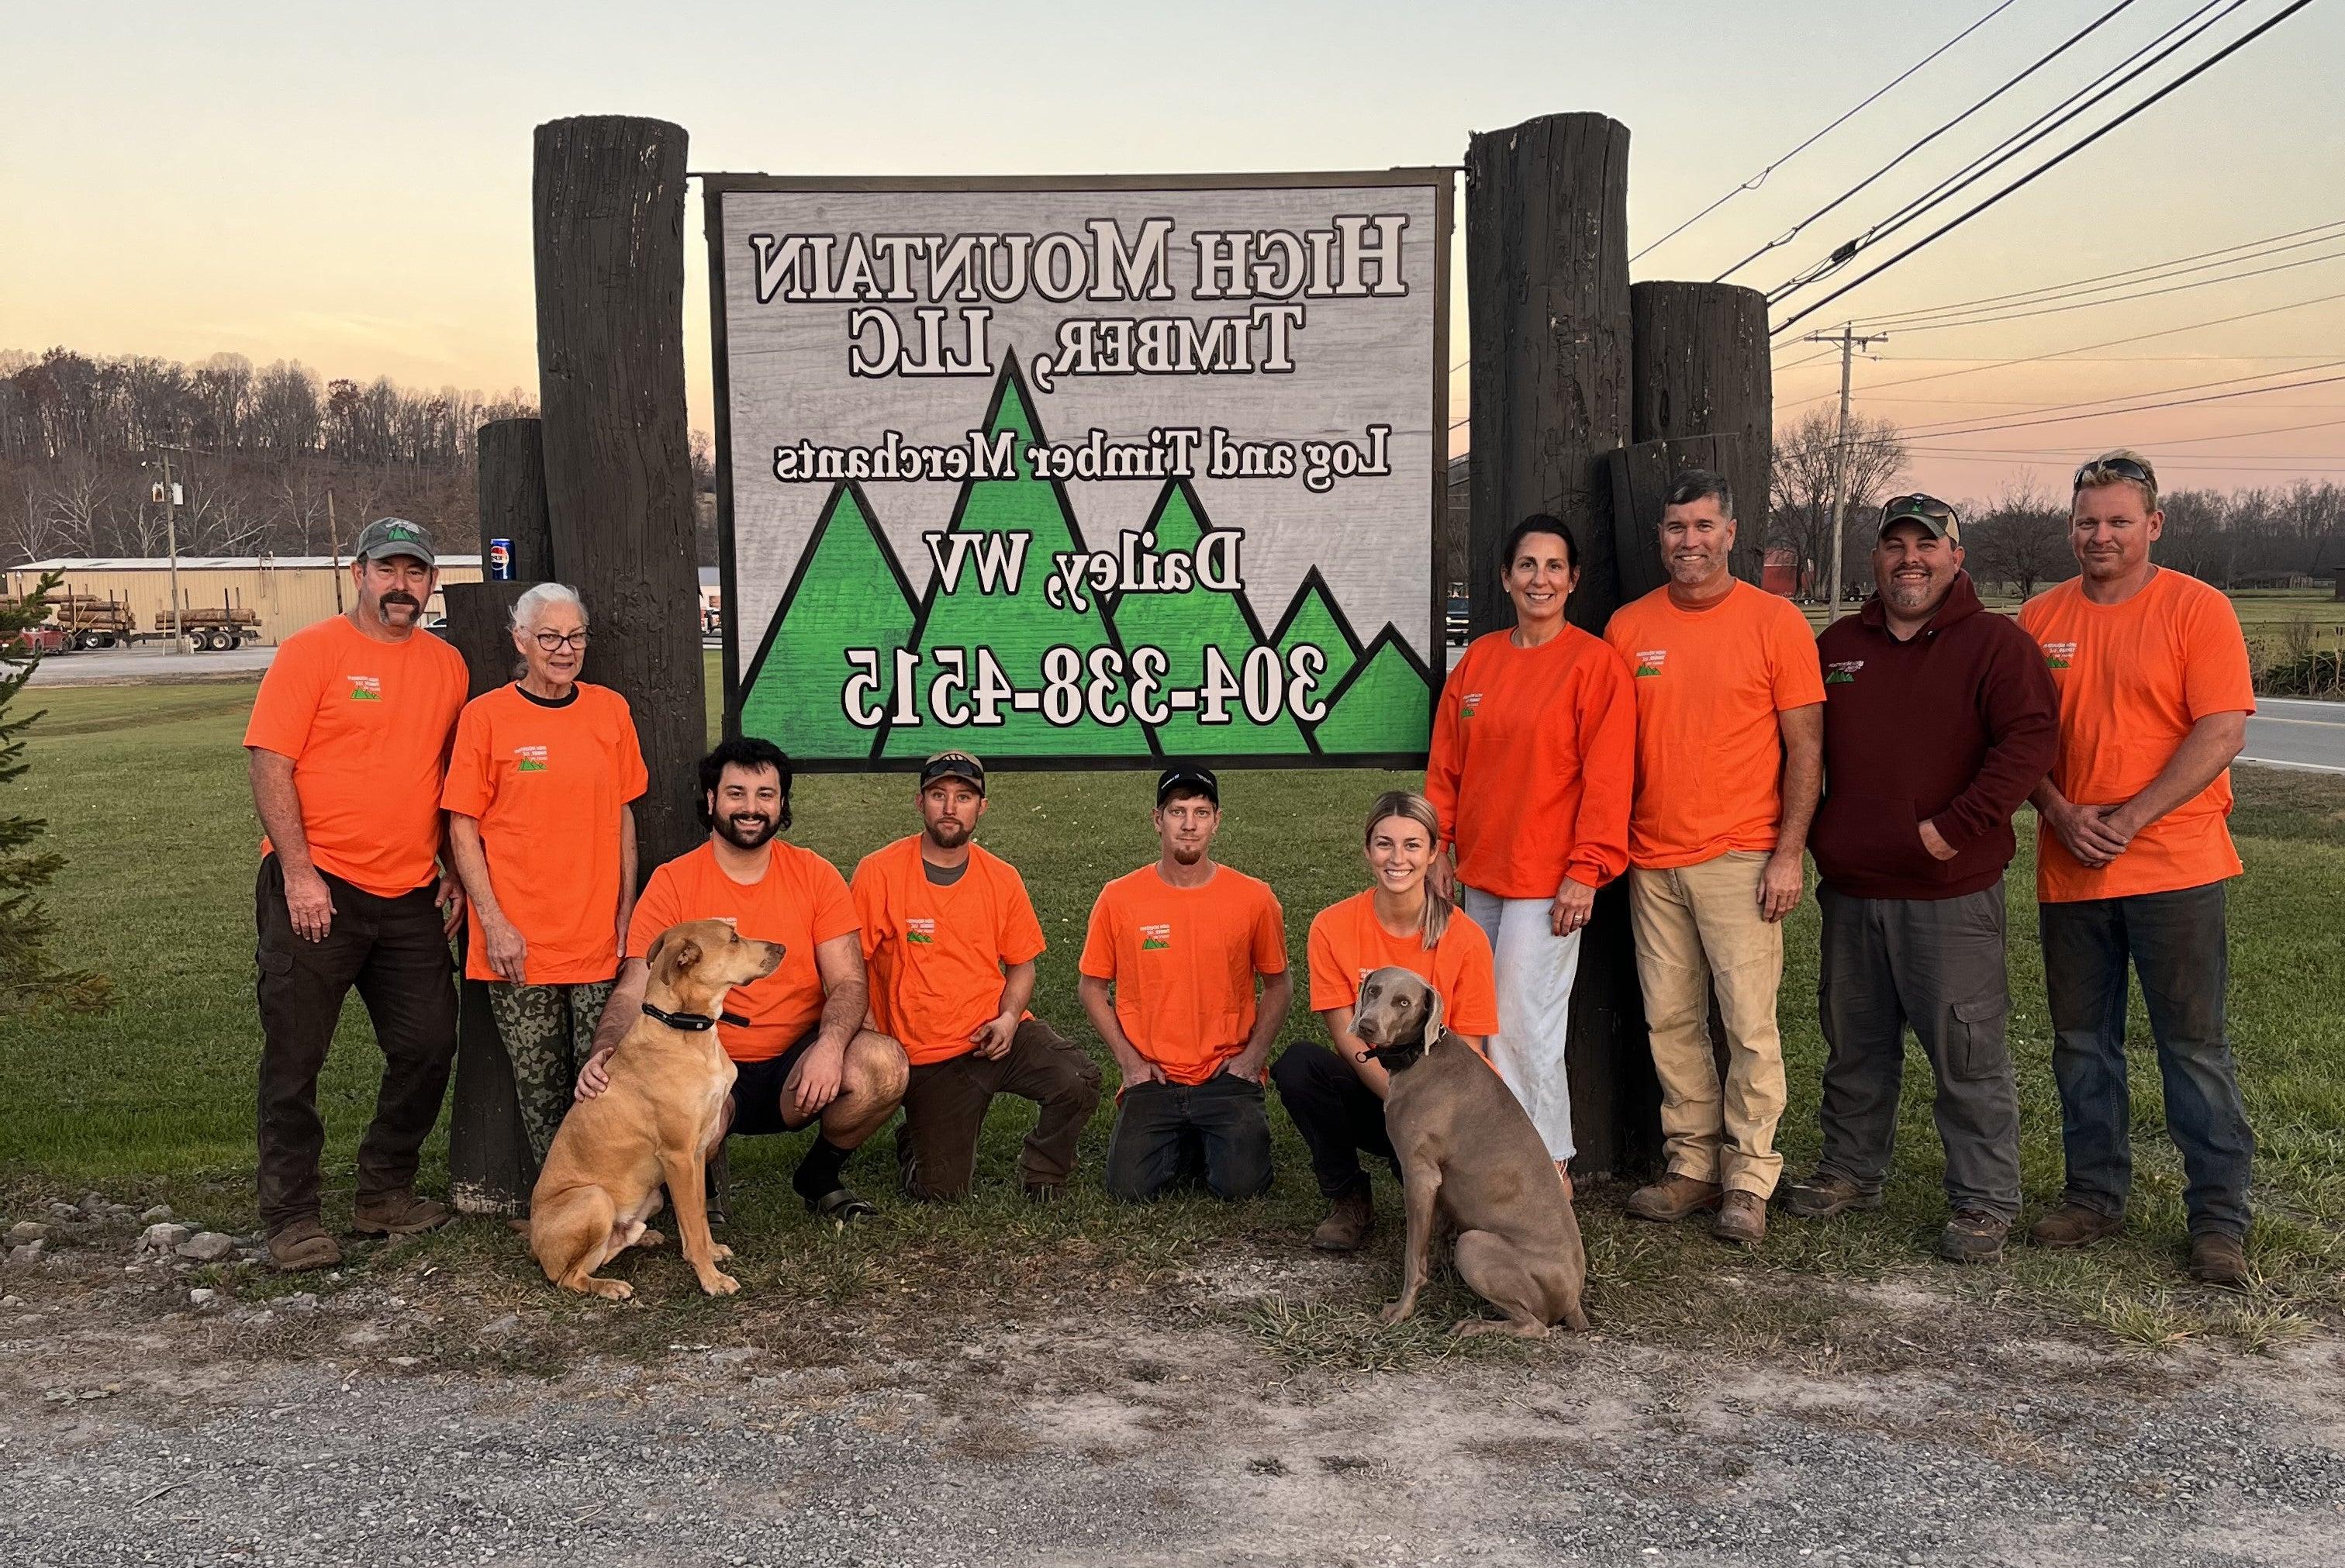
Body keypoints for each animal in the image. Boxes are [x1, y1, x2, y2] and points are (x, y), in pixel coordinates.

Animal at [530, 918, 778, 1293]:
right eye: (734, 939)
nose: (783, 948)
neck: (685, 1030)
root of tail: (532, 1243)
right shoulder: (678, 1156)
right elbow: (692, 1223)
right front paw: (711, 1279)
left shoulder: (698, 1152)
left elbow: (698, 1219)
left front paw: (708, 1254)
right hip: (594, 1199)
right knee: (568, 1277)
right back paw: (609, 1286)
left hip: (652, 1197)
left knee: (607, 1249)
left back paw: (641, 1238)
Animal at [1359, 965, 1594, 1331]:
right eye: (1373, 990)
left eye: (1403, 1002)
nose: (1367, 1026)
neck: (1421, 1055)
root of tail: (1573, 1301)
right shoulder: (1440, 1181)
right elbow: (1439, 1231)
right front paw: (1438, 1269)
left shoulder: (1420, 1174)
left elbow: (1413, 1255)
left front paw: (1402, 1310)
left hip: (1474, 1243)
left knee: (1535, 1326)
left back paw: (1475, 1326)